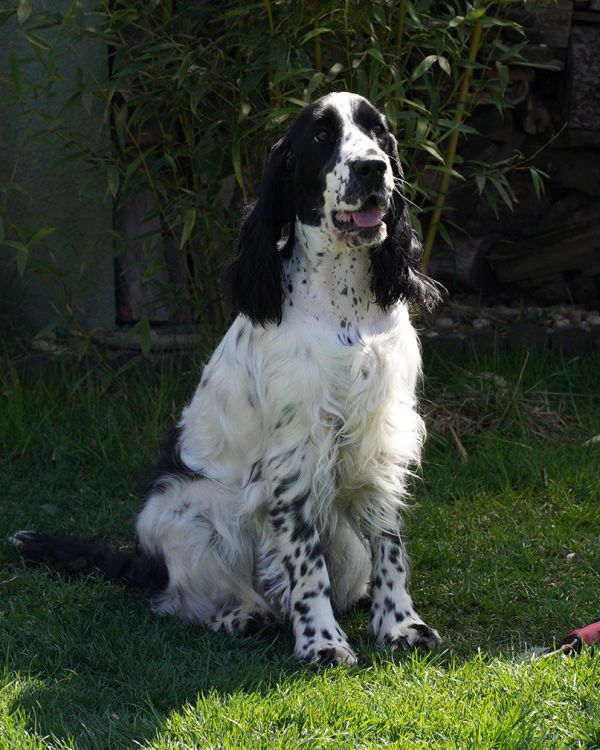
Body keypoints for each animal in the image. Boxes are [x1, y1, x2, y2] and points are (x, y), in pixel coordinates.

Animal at [12, 91, 440, 668]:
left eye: (378, 132)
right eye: (321, 137)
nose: (372, 167)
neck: (342, 305)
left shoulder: (381, 441)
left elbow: (389, 546)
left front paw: (400, 625)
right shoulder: (295, 454)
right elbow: (306, 564)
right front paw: (322, 642)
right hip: (183, 514)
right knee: (179, 598)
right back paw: (243, 615)